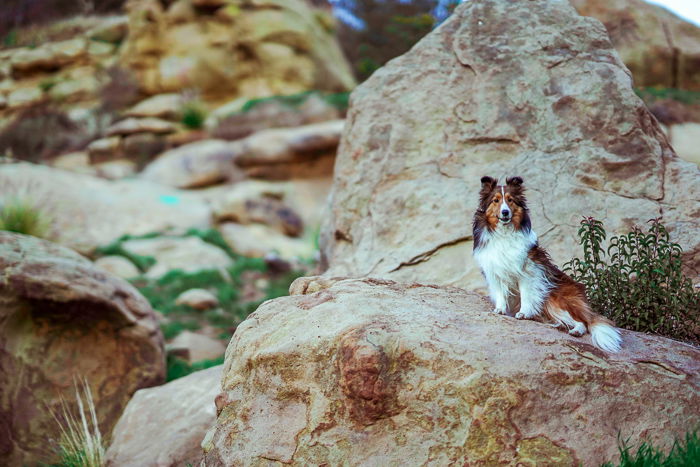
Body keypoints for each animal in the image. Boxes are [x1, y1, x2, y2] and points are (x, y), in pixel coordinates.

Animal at [474, 177, 620, 352]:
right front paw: (500, 310)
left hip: (556, 300)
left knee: (584, 322)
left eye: (510, 200)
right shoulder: (494, 270)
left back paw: (576, 331)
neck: (504, 233)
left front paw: (524, 313)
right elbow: (500, 293)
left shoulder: (527, 270)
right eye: (495, 200)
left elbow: (526, 294)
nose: (505, 212)